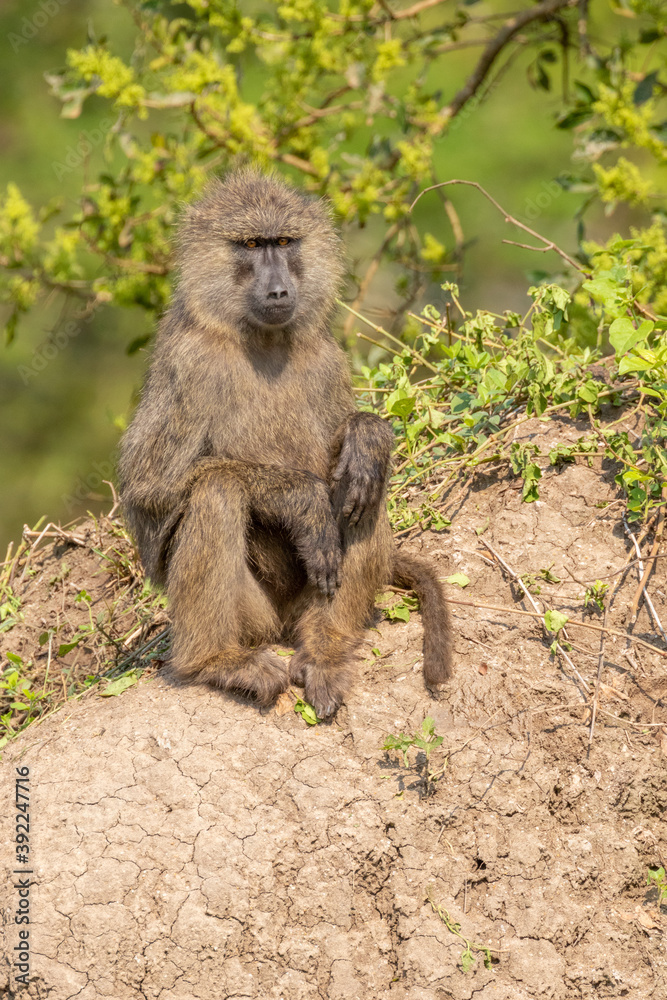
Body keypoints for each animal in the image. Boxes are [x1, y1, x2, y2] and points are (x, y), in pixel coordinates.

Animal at [118, 170, 451, 718]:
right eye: (252, 245)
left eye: (286, 242)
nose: (278, 290)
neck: (261, 338)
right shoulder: (188, 363)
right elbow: (149, 492)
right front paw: (300, 499)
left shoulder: (326, 356)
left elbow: (353, 451)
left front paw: (367, 433)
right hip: (257, 619)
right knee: (216, 492)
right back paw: (216, 661)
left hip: (310, 598)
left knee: (363, 488)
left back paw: (324, 649)